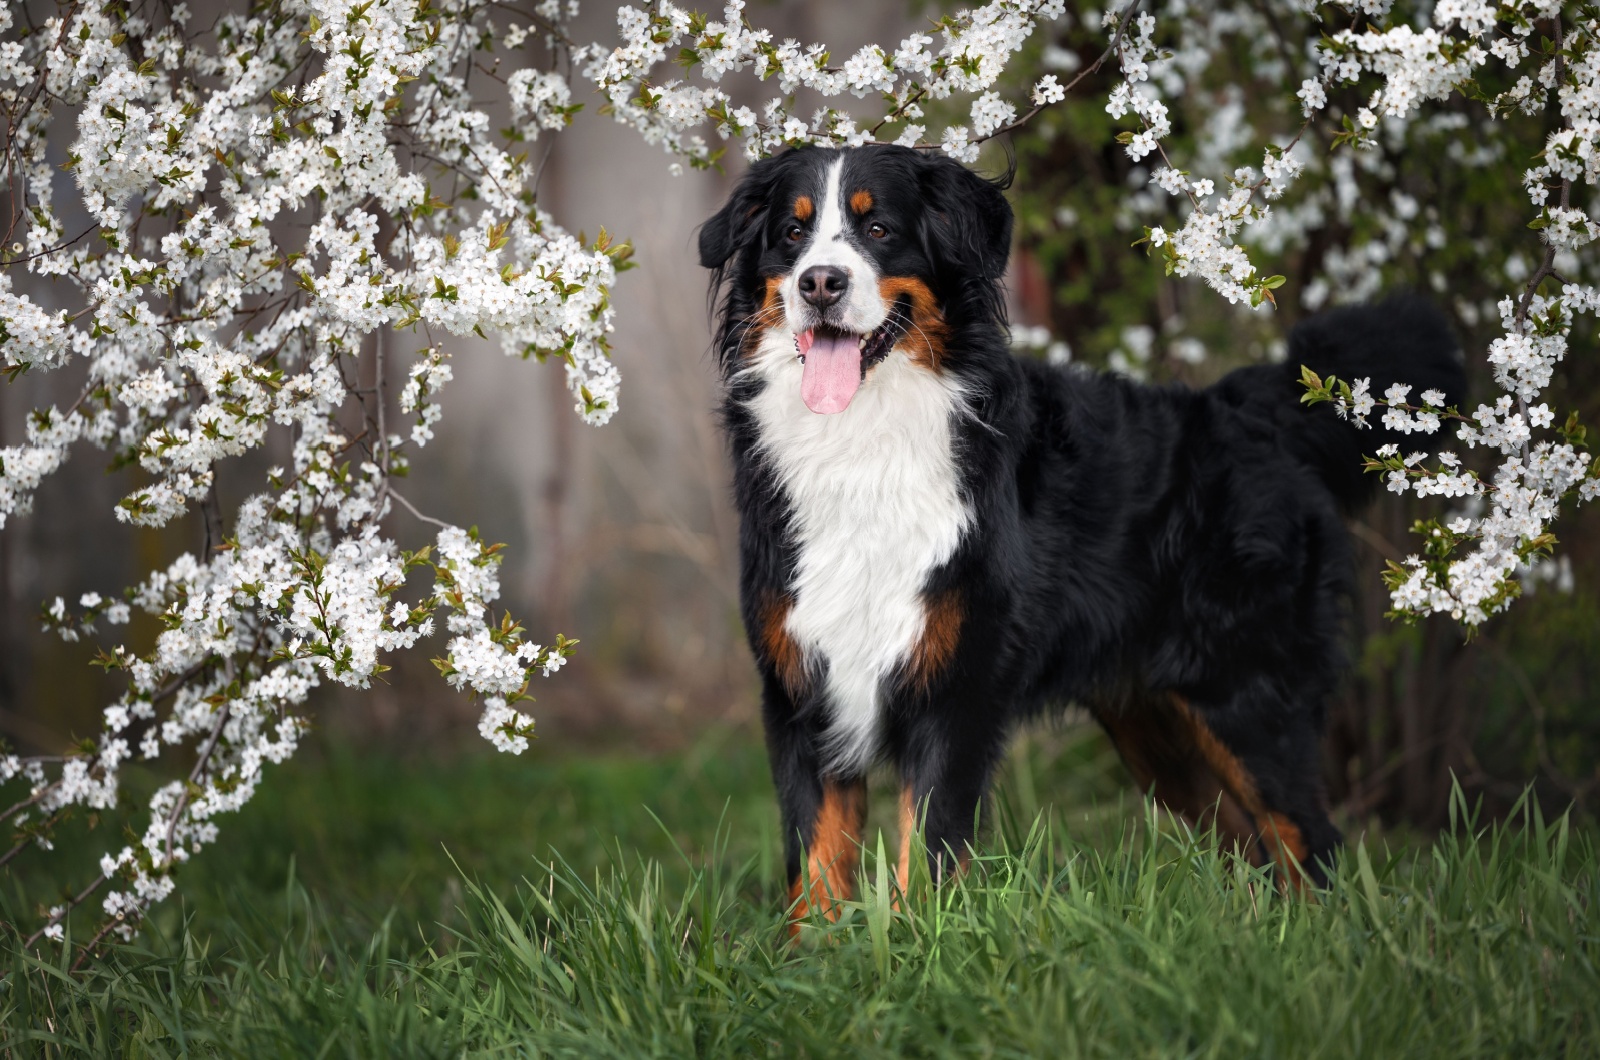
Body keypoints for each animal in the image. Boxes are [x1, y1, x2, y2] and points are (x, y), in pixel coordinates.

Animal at [694, 143, 1465, 928]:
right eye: (793, 234)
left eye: (878, 228)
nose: (820, 282)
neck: (862, 443)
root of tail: (1252, 406)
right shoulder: (801, 693)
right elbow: (815, 870)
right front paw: (821, 956)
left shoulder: (955, 693)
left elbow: (927, 859)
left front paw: (913, 947)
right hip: (1162, 732)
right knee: (1254, 844)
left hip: (1248, 697)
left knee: (1307, 841)